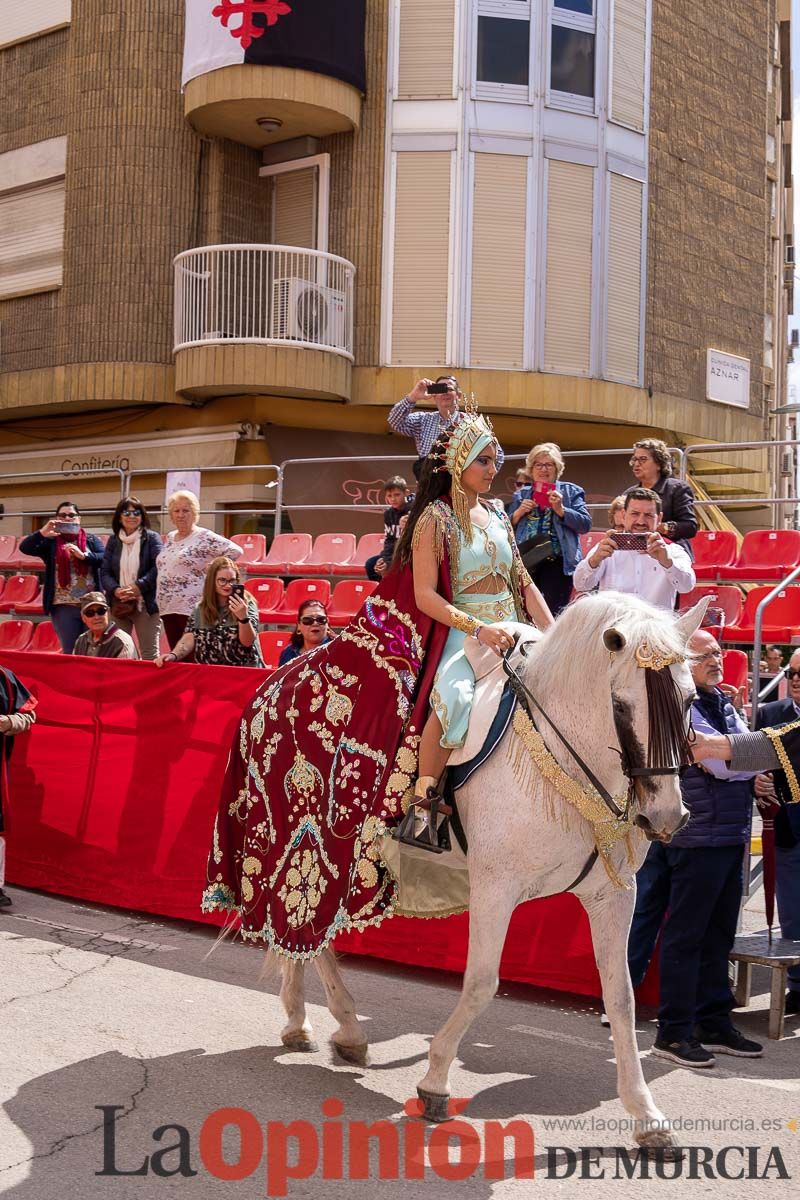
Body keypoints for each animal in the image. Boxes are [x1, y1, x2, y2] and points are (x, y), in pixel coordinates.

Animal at [275, 590, 705, 1152]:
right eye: (621, 706)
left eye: (691, 699)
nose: (666, 817)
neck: (564, 758)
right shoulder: (496, 887)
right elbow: (481, 983)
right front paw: (435, 1081)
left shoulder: (613, 895)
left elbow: (622, 997)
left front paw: (647, 1115)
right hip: (315, 840)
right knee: (302, 922)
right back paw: (327, 1024)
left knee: (307, 928)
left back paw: (316, 1025)